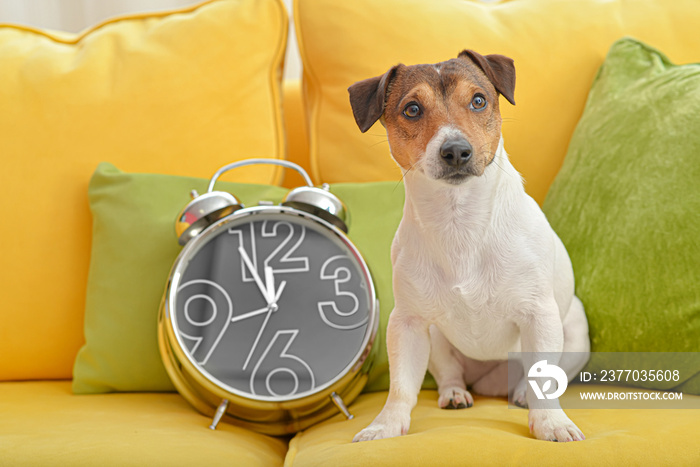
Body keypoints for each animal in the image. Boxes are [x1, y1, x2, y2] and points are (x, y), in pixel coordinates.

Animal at [348, 50, 588, 442]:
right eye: (412, 109)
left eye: (478, 101)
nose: (456, 151)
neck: (458, 221)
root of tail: (490, 380)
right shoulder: (407, 323)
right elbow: (401, 387)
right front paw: (385, 425)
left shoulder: (540, 315)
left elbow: (543, 380)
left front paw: (552, 423)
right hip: (436, 338)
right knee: (450, 373)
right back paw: (455, 393)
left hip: (574, 331)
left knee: (542, 376)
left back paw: (520, 393)